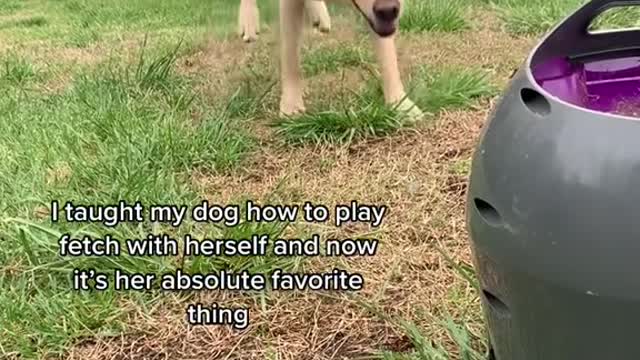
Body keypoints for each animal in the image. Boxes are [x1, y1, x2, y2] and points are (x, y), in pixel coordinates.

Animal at [235, 0, 420, 121]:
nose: (388, 10)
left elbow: (388, 57)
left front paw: (401, 104)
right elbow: (290, 55)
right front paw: (291, 106)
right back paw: (248, 22)